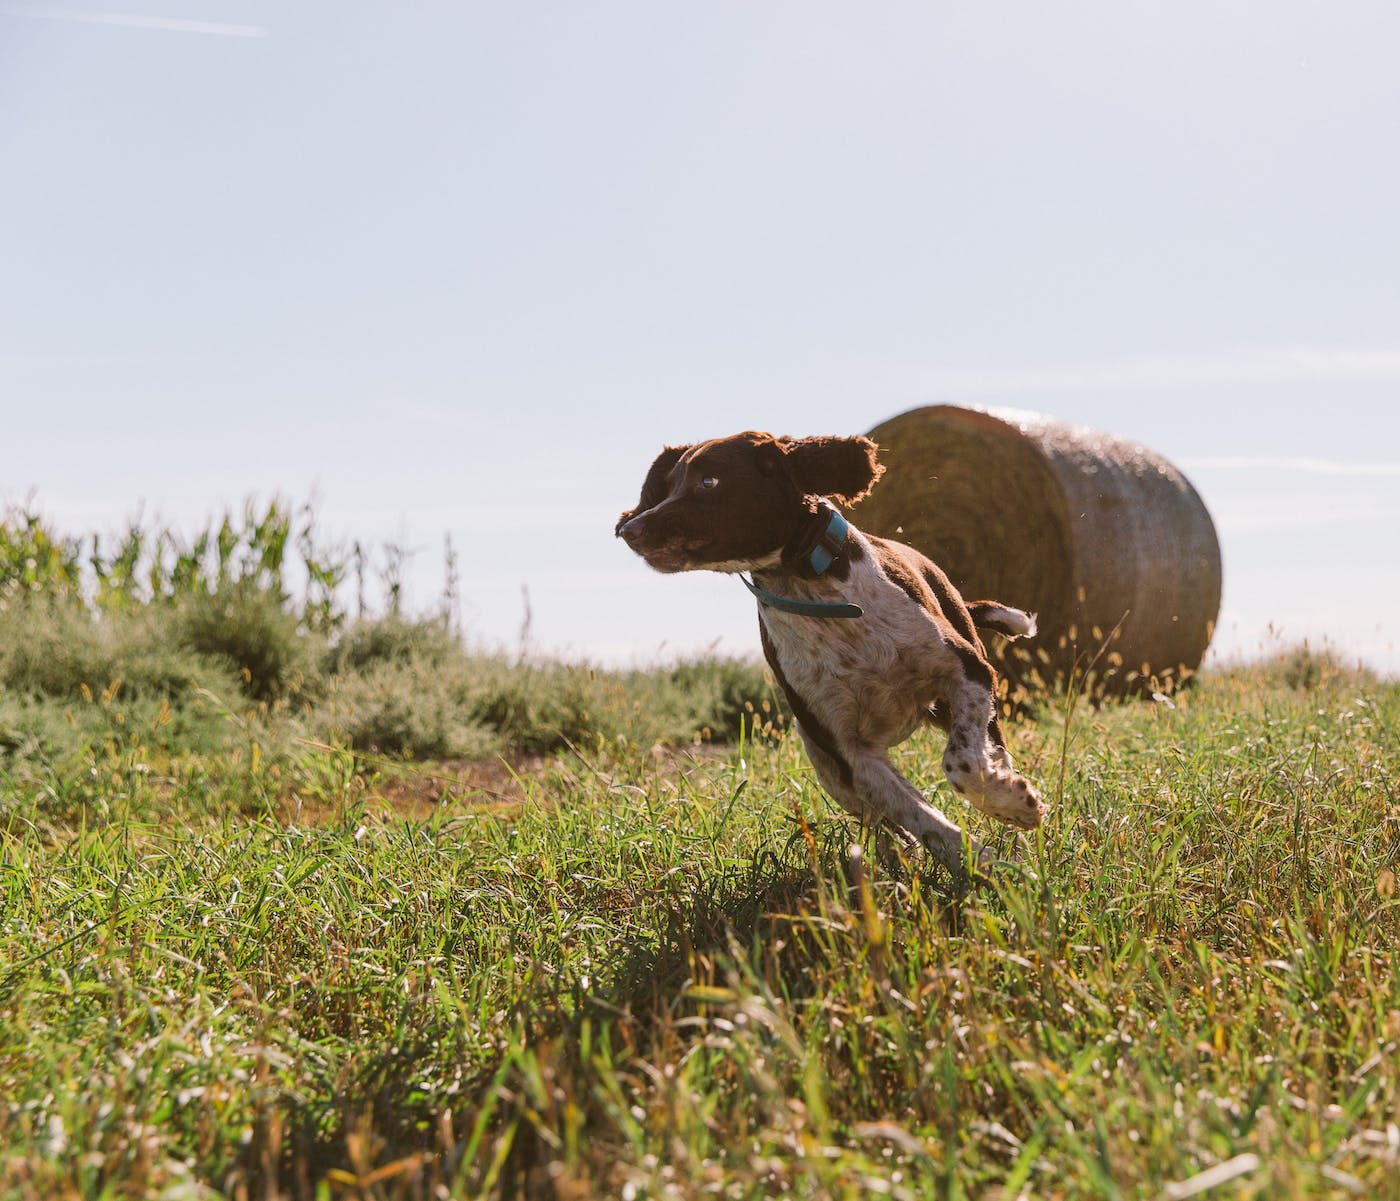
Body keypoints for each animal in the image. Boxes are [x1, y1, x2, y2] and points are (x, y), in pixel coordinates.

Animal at [618, 428, 1047, 879]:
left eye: (708, 482)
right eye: (669, 485)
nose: (631, 529)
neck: (811, 585)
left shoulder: (967, 671)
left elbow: (962, 764)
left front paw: (1014, 806)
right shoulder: (848, 753)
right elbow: (923, 819)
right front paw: (985, 866)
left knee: (989, 751)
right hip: (825, 765)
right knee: (881, 819)